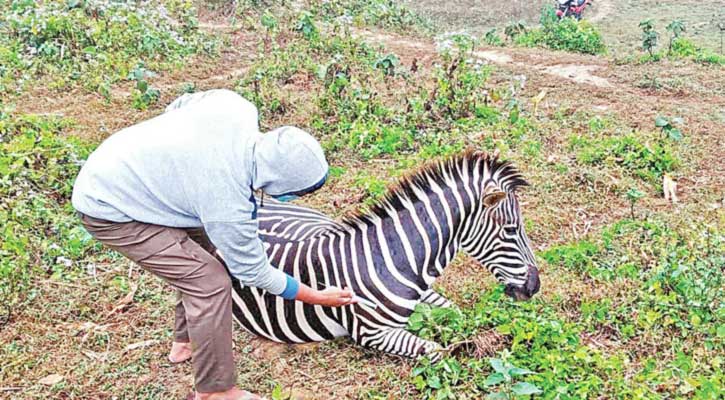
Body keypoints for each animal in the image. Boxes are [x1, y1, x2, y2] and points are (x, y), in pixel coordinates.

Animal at [226, 152, 536, 360]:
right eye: (511, 230)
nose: (534, 287)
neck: (394, 260)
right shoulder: (373, 334)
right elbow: (436, 350)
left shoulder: (425, 294)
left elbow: (454, 311)